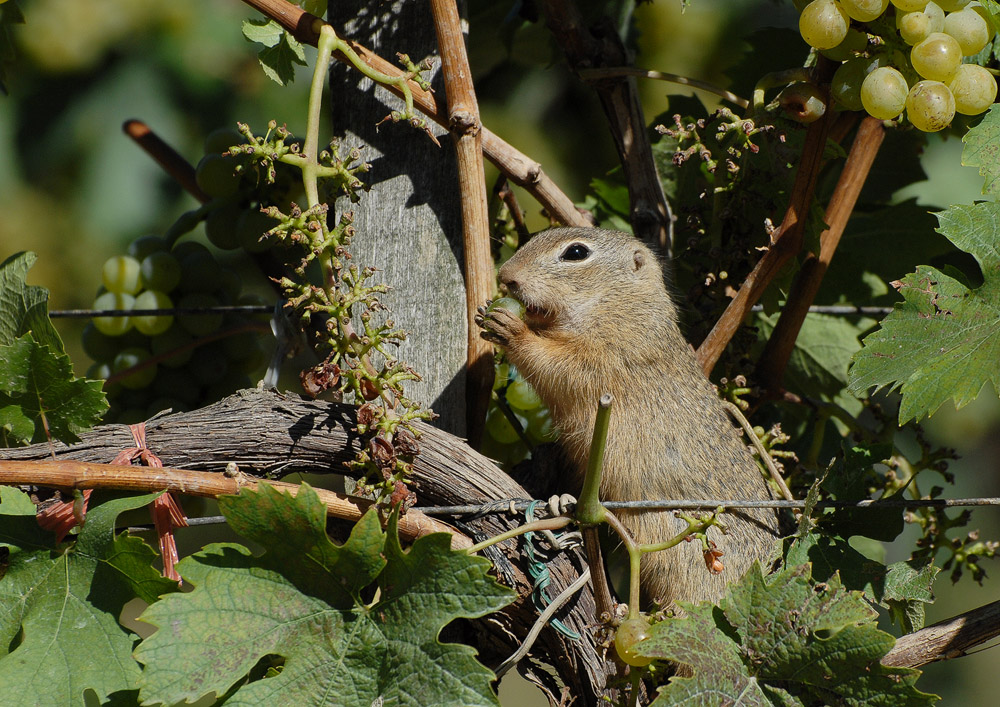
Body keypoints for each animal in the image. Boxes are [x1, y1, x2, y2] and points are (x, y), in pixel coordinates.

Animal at [476, 228, 780, 608]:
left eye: (576, 253)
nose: (506, 276)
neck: (618, 302)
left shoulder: (605, 356)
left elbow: (554, 361)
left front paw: (511, 328)